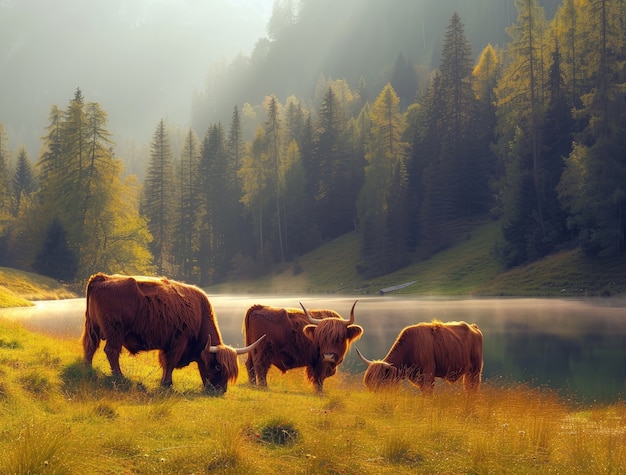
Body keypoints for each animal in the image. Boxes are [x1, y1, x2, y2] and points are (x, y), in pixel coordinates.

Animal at [81, 274, 264, 396]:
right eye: (218, 366)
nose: (220, 390)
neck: (199, 315)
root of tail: (102, 278)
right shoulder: (178, 342)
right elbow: (170, 363)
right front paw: (167, 384)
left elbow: (165, 362)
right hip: (115, 331)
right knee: (111, 351)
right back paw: (119, 377)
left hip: (93, 328)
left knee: (90, 347)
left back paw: (87, 369)